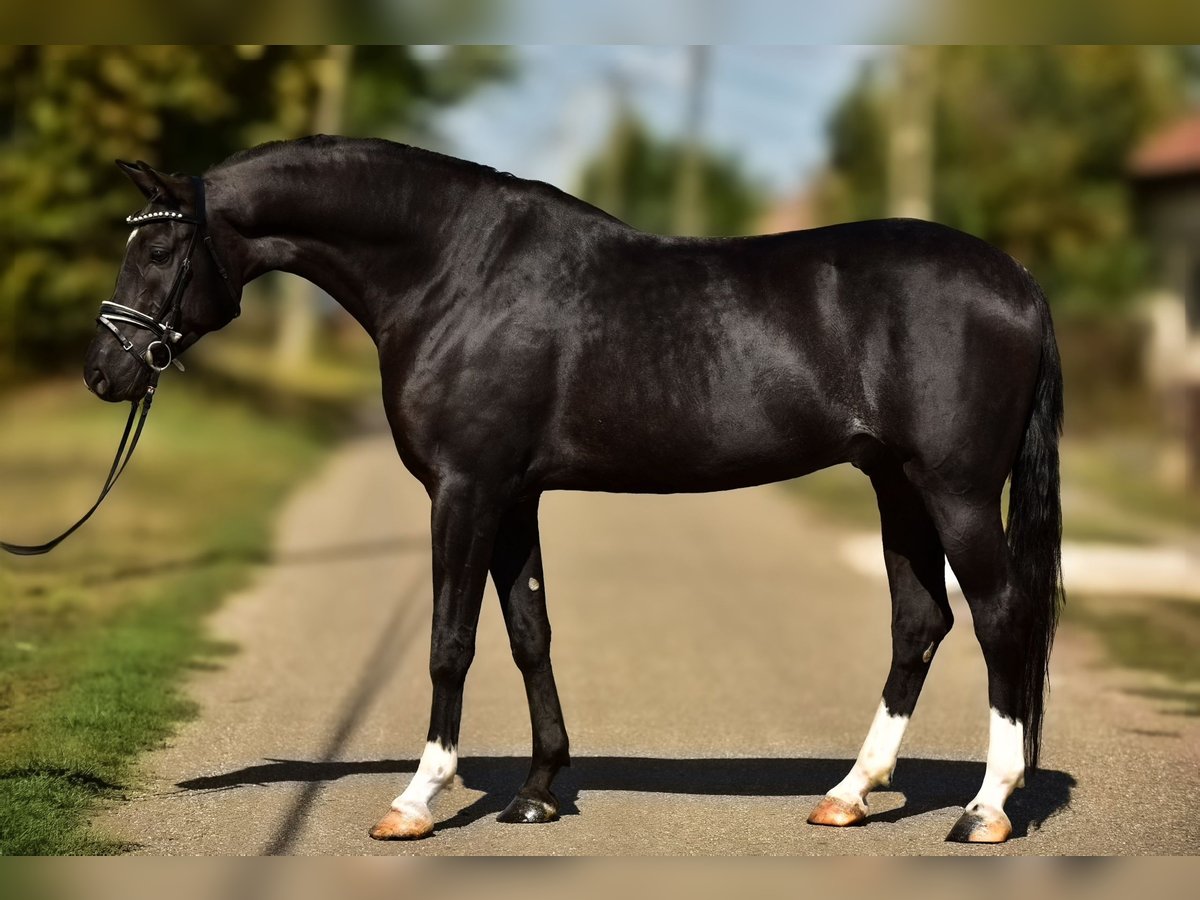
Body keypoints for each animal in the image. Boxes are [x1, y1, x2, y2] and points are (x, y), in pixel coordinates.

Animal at [84, 135, 1063, 846]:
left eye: (161, 245)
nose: (103, 372)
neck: (453, 270)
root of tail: (1017, 279)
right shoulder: (515, 496)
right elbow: (530, 634)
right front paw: (540, 792)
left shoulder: (465, 490)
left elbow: (450, 642)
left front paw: (416, 799)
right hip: (896, 484)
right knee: (919, 622)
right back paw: (850, 793)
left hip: (955, 491)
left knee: (1001, 615)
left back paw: (986, 809)